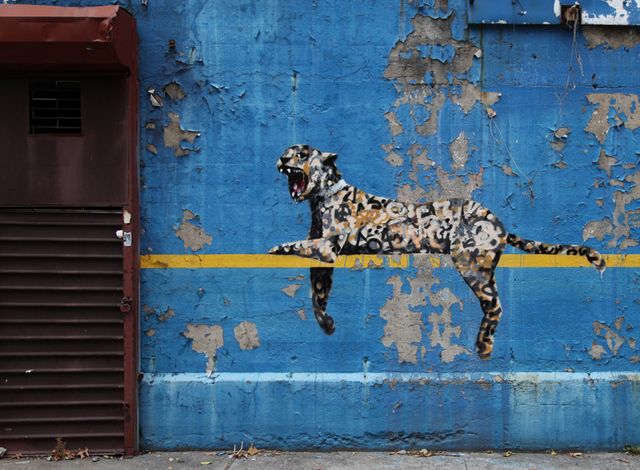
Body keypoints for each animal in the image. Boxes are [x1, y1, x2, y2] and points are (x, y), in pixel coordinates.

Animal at [269, 144, 606, 359]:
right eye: (288, 150)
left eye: (301, 153)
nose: (282, 159)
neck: (318, 199)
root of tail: (497, 221)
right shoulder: (324, 262)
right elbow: (318, 296)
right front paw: (327, 325)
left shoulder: (327, 247)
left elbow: (296, 245)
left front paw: (274, 247)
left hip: (471, 265)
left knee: (495, 306)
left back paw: (483, 348)